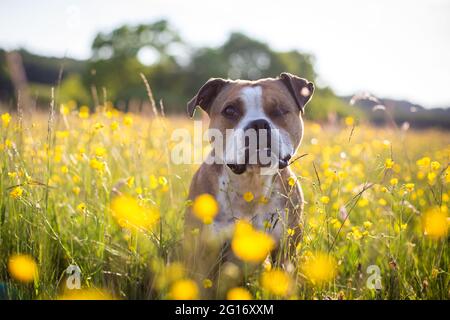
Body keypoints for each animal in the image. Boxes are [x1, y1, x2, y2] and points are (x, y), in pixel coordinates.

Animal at [183, 73, 312, 292]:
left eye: (279, 110)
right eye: (230, 110)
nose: (258, 124)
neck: (251, 184)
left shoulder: (285, 251)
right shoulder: (204, 255)